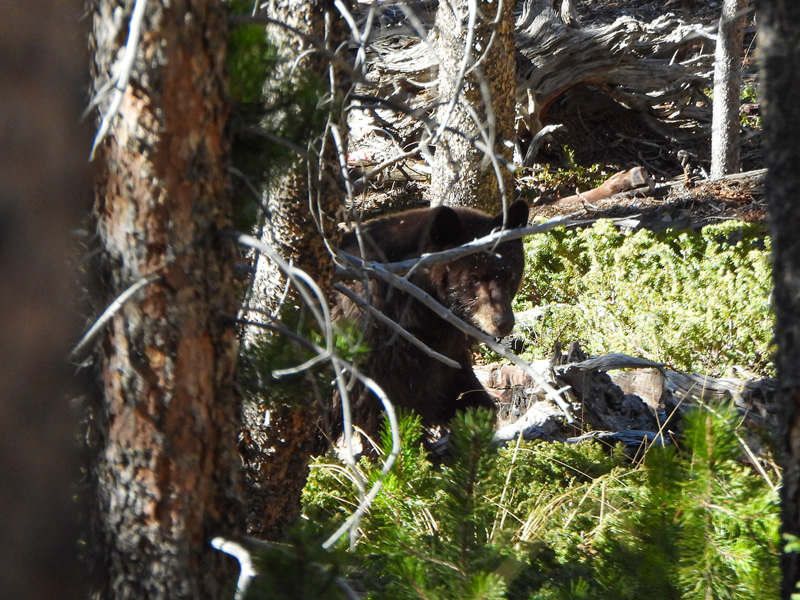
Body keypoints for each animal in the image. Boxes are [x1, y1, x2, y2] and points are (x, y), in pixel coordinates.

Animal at [333, 199, 530, 443]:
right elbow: (382, 406)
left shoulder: (442, 346)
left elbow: (453, 380)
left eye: (508, 274)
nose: (503, 322)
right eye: (473, 278)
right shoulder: (377, 340)